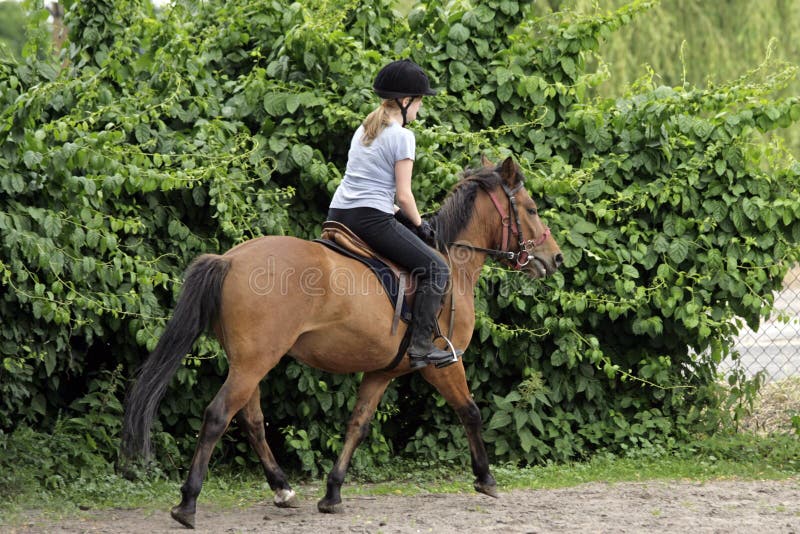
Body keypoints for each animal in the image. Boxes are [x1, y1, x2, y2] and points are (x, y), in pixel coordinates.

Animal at [120, 155, 563, 528]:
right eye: (531, 209)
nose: (555, 258)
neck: (452, 262)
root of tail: (230, 259)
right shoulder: (443, 363)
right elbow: (470, 411)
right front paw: (485, 478)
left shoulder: (383, 371)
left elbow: (357, 425)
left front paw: (332, 492)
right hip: (253, 363)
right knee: (217, 416)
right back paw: (187, 503)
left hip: (249, 362)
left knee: (251, 420)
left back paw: (282, 489)